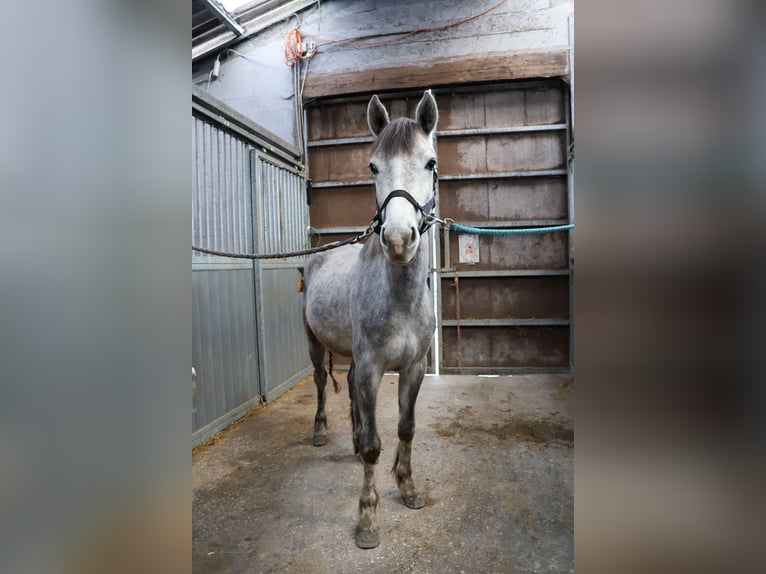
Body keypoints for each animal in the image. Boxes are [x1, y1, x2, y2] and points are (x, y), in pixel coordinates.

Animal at [304, 90, 440, 548]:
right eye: (372, 166)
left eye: (430, 163)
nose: (398, 240)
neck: (399, 299)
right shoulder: (370, 368)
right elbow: (372, 446)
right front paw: (367, 519)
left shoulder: (413, 368)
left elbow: (405, 428)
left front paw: (408, 488)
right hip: (314, 344)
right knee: (321, 383)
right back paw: (320, 431)